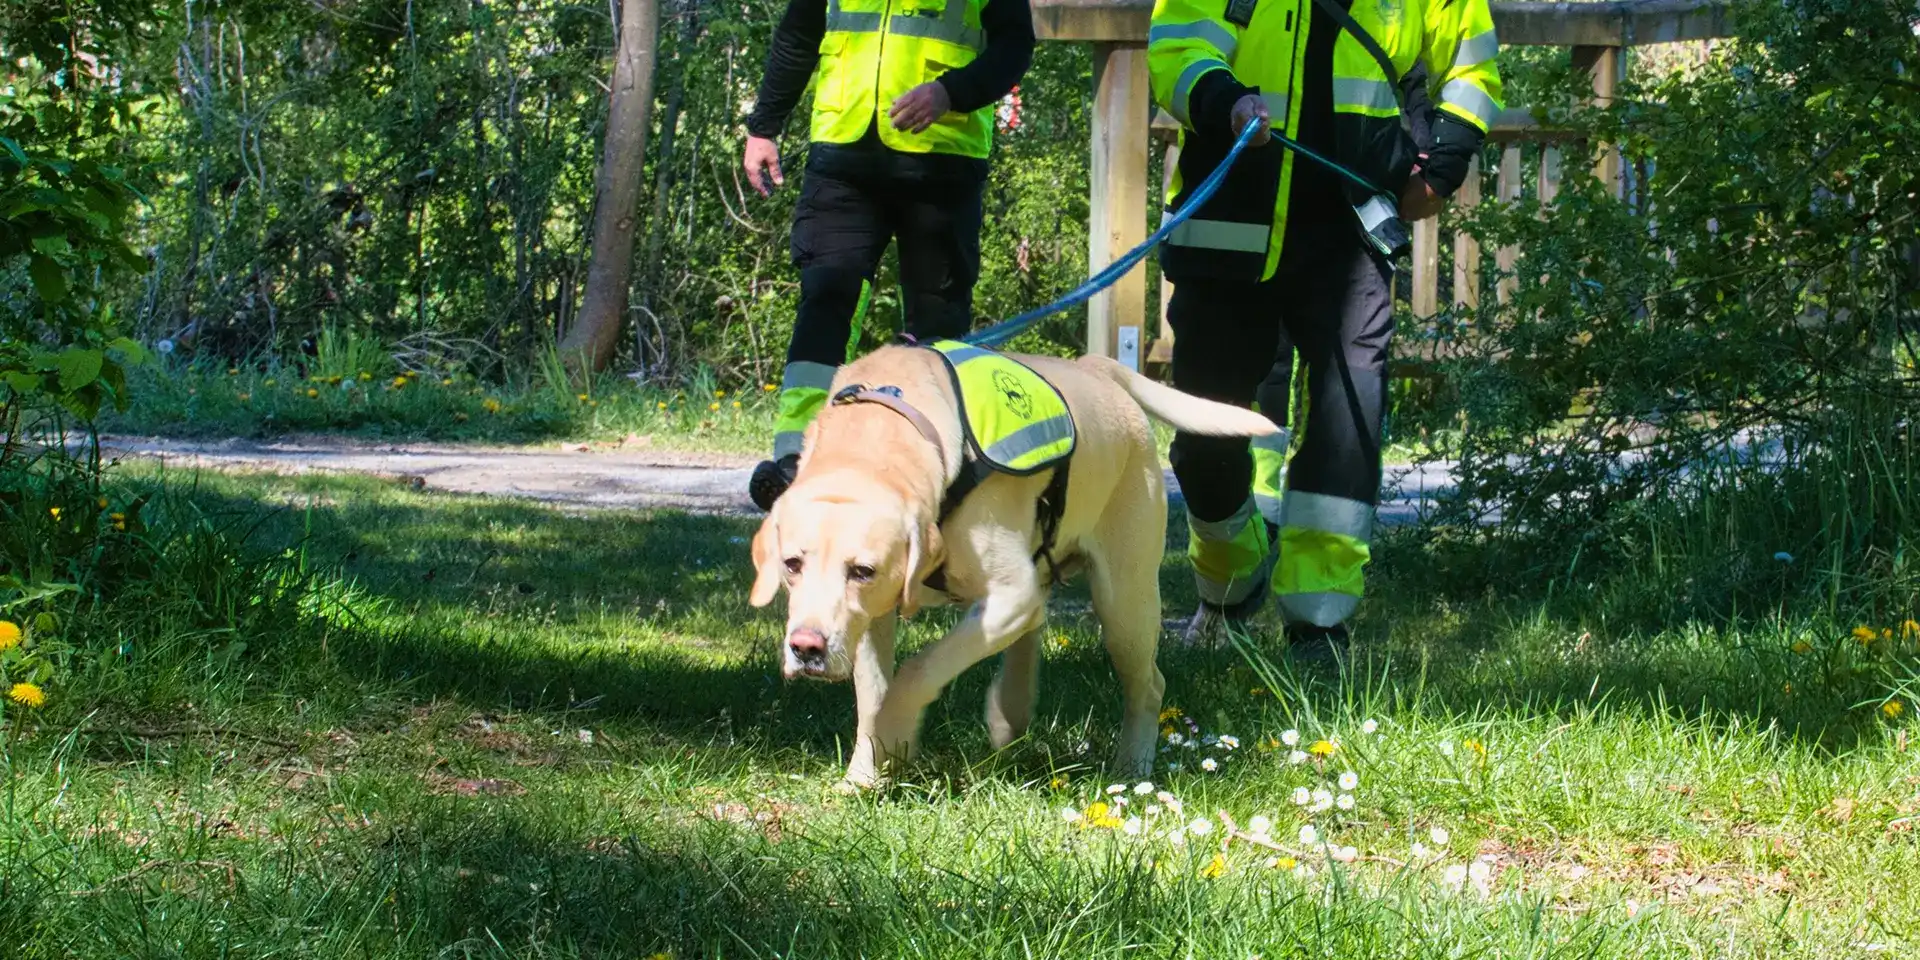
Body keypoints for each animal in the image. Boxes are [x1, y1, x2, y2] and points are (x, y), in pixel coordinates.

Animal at [748, 345, 1274, 787]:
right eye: (791, 564)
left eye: (862, 570)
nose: (806, 648)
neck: (885, 428)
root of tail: (1095, 366)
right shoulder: (873, 616)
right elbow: (874, 693)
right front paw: (866, 774)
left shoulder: (1007, 594)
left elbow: (916, 672)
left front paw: (897, 733)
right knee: (1034, 633)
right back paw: (1009, 713)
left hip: (1126, 603)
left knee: (1147, 685)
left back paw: (1130, 768)